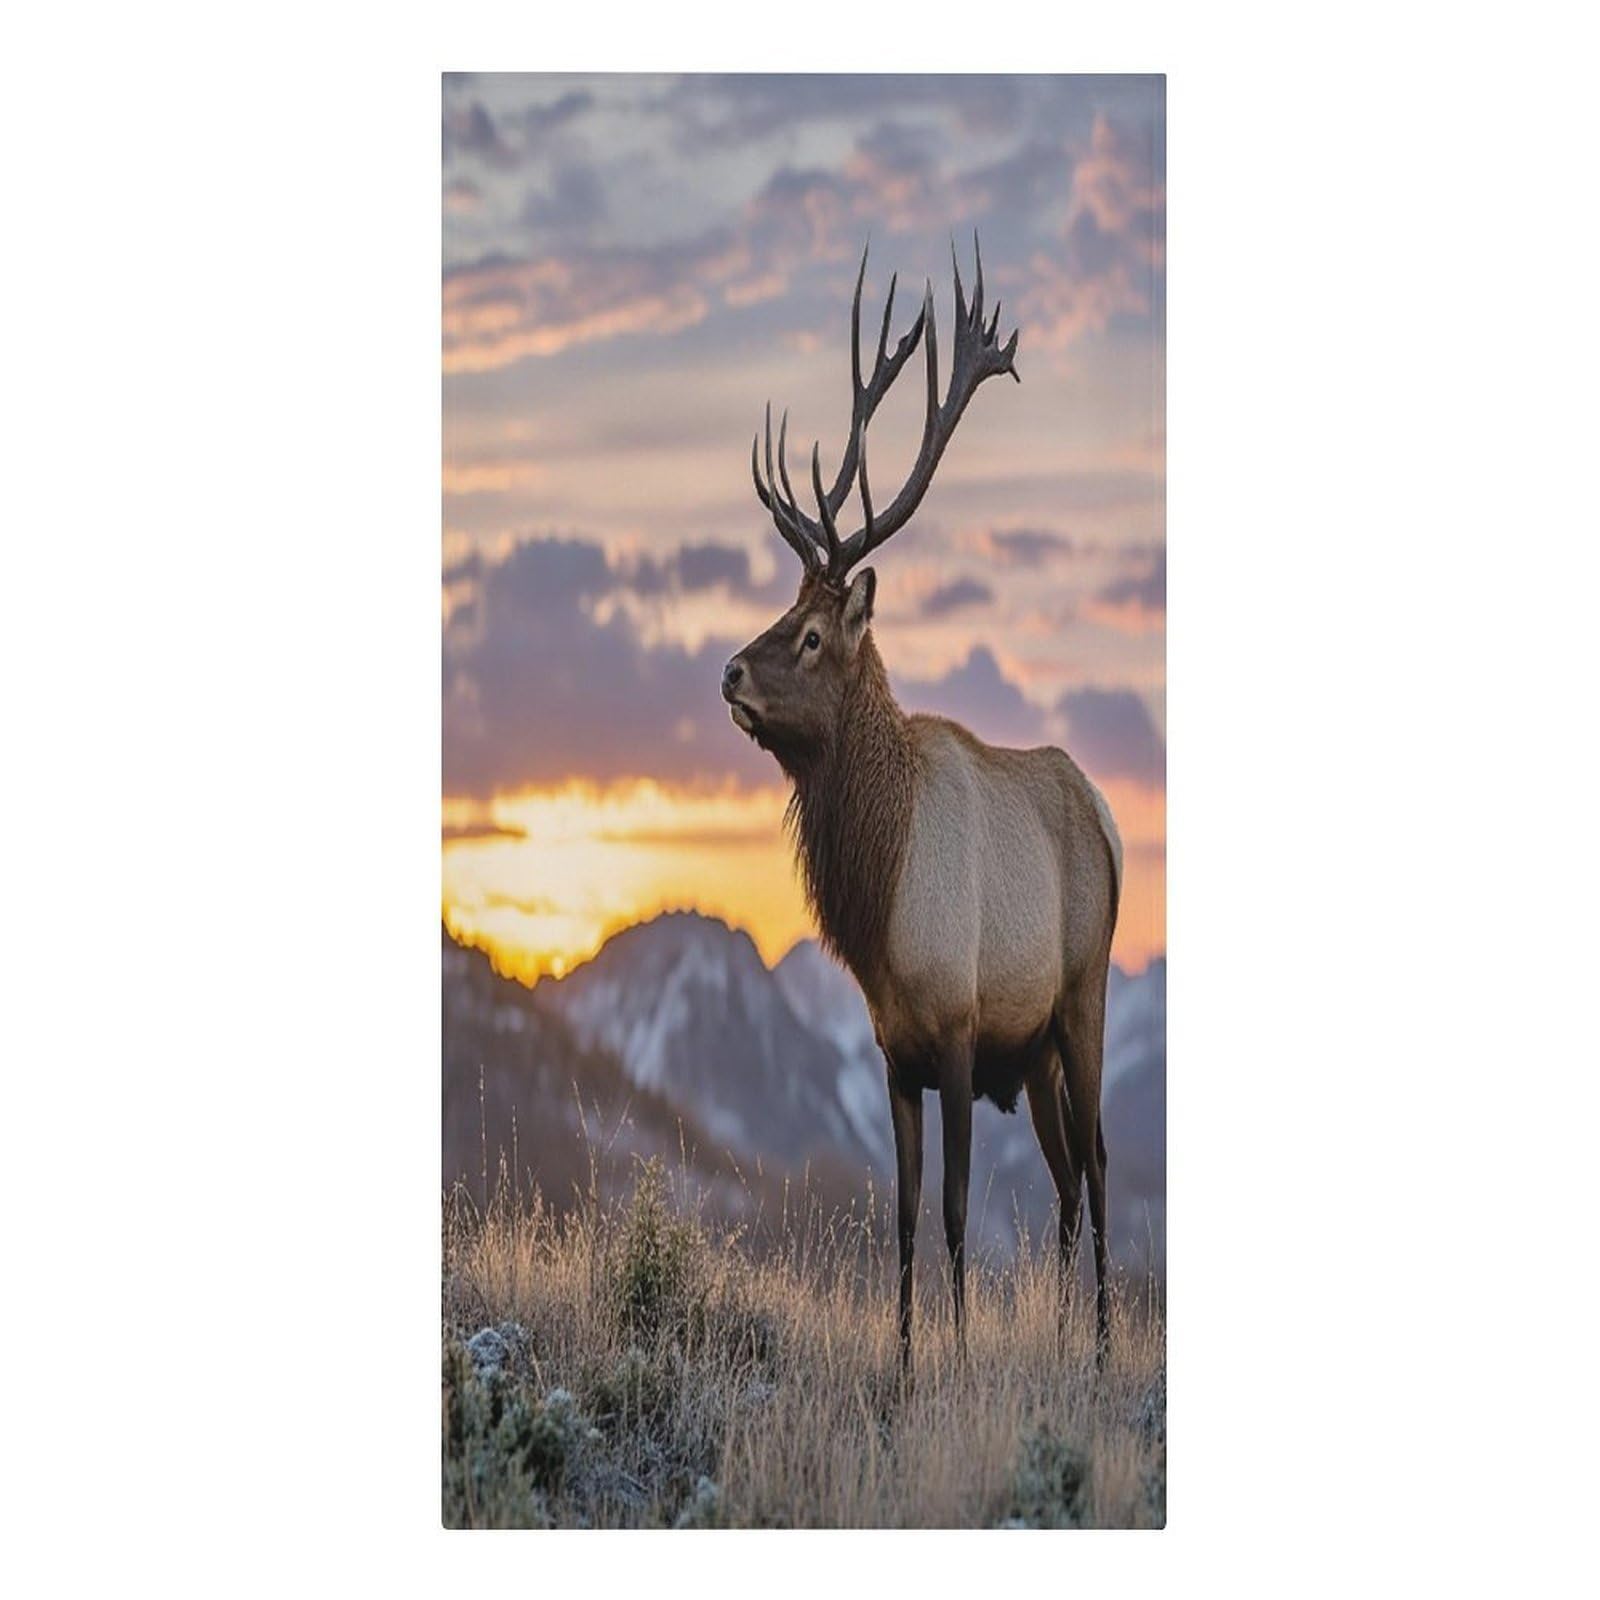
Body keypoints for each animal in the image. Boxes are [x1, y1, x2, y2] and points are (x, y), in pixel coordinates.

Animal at [720, 239, 1122, 1369]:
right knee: (1065, 1174)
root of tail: (1108, 814)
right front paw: (902, 1365)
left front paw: (959, 1354)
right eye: (782, 610)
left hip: (1081, 994)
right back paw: (1066, 1340)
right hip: (1036, 1049)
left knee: (1101, 1160)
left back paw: (1100, 1343)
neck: (881, 904)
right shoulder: (896, 1052)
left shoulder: (957, 1027)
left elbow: (949, 1212)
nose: (727, 672)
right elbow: (899, 1215)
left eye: (813, 634)